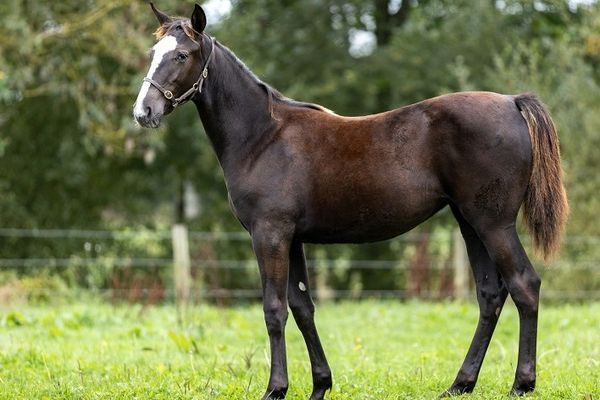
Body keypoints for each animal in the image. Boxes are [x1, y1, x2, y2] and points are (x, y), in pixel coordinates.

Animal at [132, 3, 568, 400]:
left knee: (525, 285)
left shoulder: (269, 234)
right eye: (153, 52)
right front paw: (320, 385)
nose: (143, 111)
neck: (263, 136)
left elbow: (274, 309)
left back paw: (521, 384)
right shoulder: (293, 239)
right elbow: (302, 307)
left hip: (494, 224)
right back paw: (461, 384)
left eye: (182, 55)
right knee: (490, 295)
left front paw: (276, 389)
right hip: (469, 223)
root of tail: (512, 101)